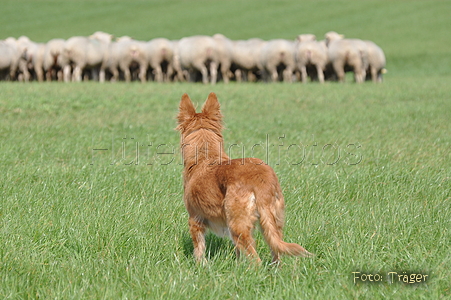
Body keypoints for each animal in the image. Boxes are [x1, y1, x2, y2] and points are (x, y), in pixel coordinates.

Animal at [177, 92, 314, 264]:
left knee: (256, 260)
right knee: (276, 252)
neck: (205, 156)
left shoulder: (195, 220)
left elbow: (199, 250)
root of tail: (261, 183)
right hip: (273, 223)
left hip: (237, 226)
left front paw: (200, 265)